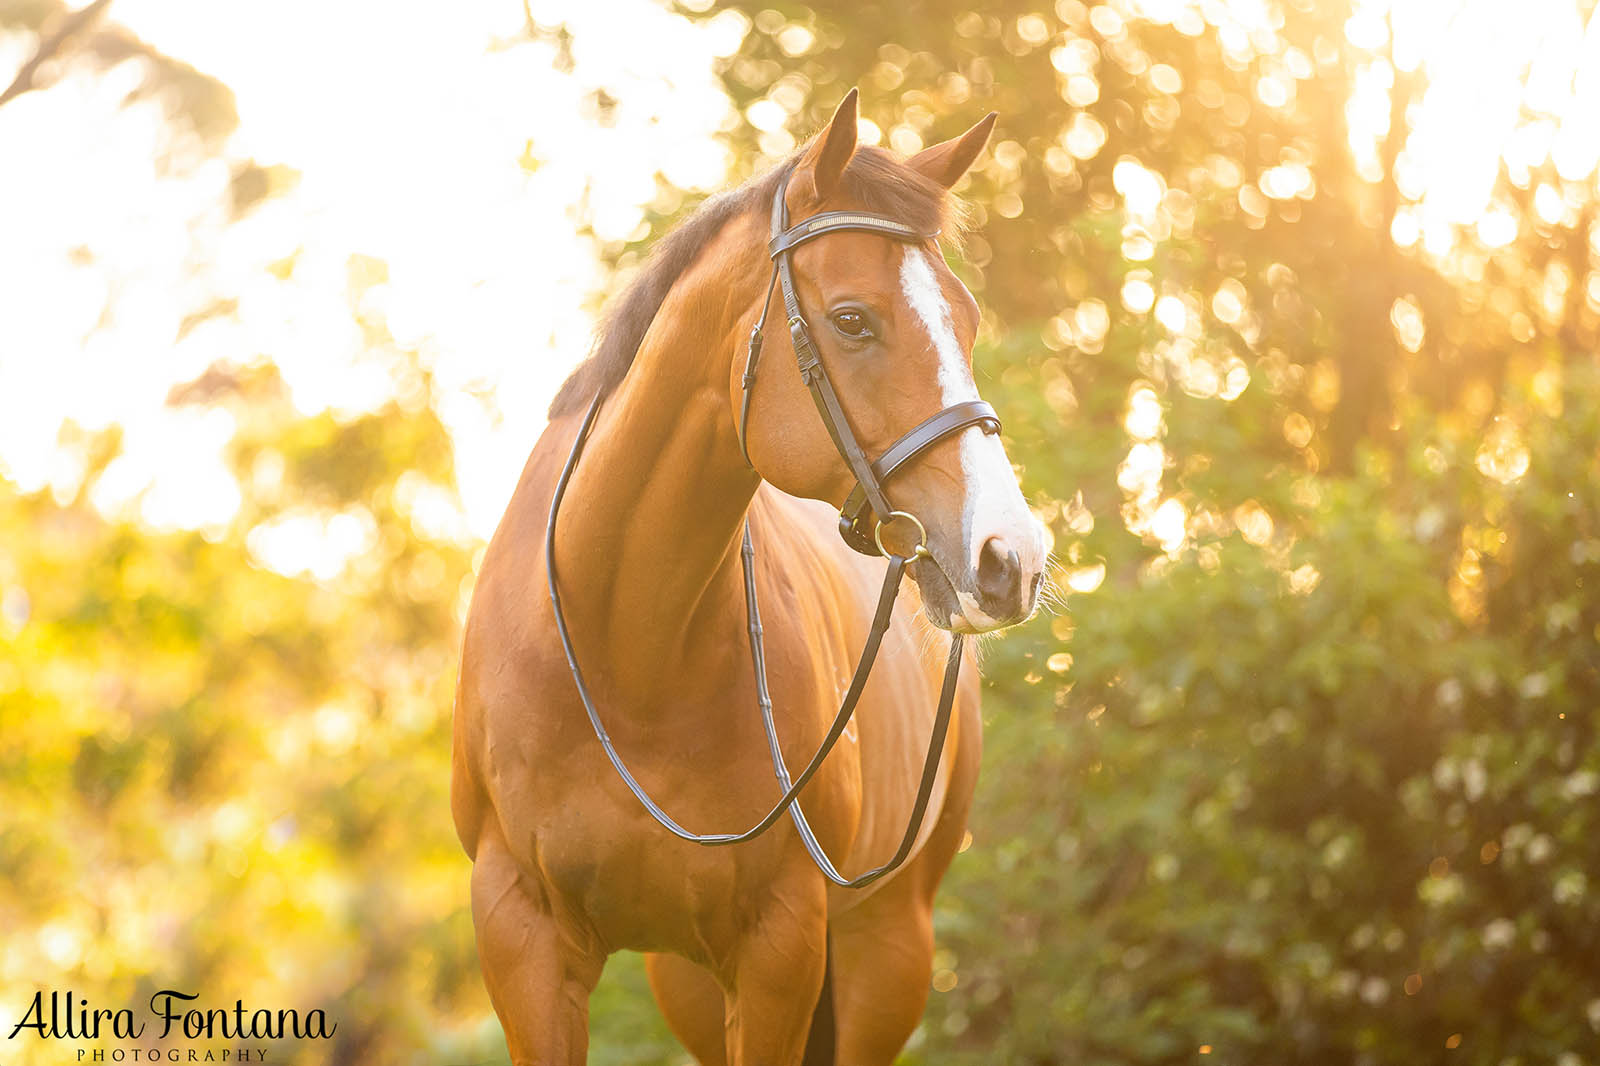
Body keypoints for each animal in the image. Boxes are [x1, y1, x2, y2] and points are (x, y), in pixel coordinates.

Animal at [451, 93, 1049, 1062]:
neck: (624, 651)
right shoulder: (523, 939)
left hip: (887, 952)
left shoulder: (780, 945)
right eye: (853, 319)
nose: (1010, 557)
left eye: (965, 321)